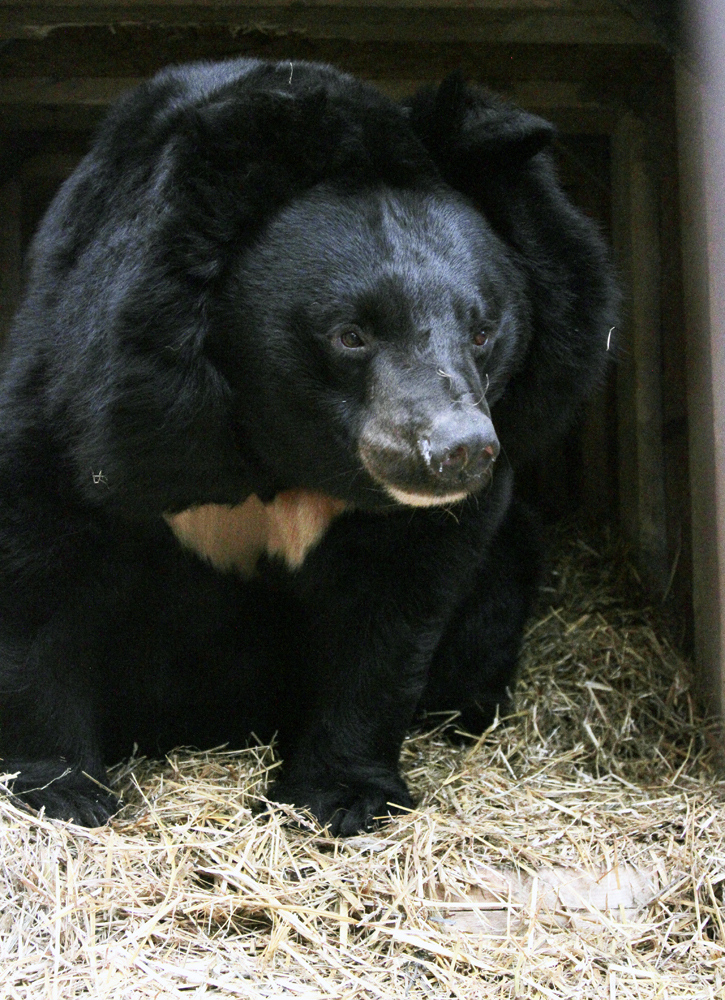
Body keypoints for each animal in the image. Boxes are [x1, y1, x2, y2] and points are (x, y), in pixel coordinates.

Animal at [0, 58, 616, 832]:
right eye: (350, 335)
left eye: (482, 330)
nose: (458, 449)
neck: (284, 453)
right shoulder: (97, 409)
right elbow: (40, 578)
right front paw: (61, 790)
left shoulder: (426, 517)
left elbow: (389, 621)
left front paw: (339, 797)